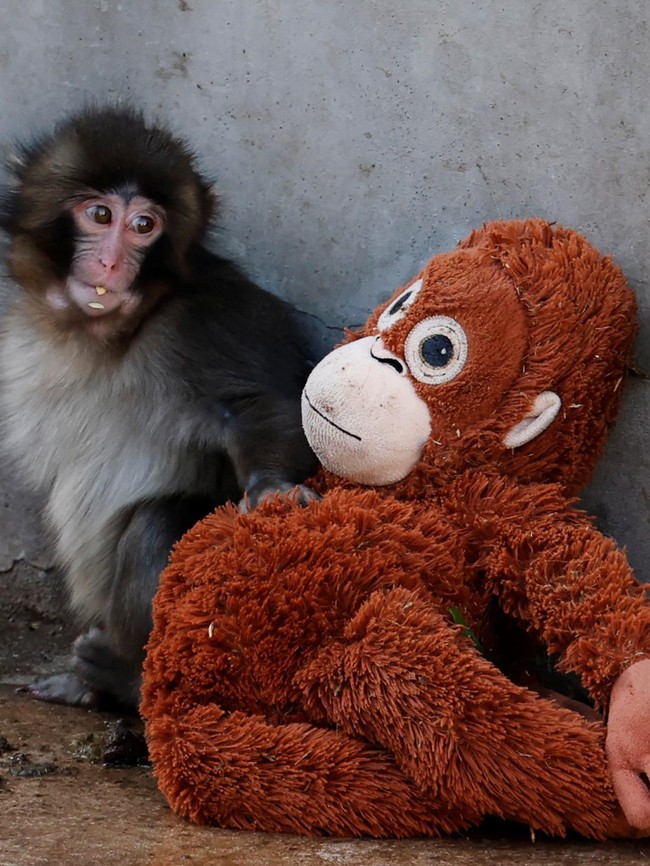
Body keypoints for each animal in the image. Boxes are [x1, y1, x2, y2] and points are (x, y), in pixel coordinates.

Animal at [0, 105, 318, 711]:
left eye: (144, 226)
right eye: (100, 215)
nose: (110, 261)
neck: (105, 335)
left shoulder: (205, 322)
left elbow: (256, 405)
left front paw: (273, 489)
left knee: (157, 524)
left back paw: (123, 679)